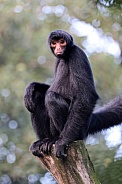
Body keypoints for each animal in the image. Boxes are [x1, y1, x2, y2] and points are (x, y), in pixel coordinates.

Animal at [23, 29, 122, 158]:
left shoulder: (77, 54)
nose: (58, 48)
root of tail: (89, 121)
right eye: (54, 43)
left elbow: (87, 96)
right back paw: (44, 140)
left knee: (51, 97)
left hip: (79, 131)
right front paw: (31, 86)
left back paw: (55, 139)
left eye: (62, 42)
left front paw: (62, 142)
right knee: (37, 96)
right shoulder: (58, 60)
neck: (65, 56)